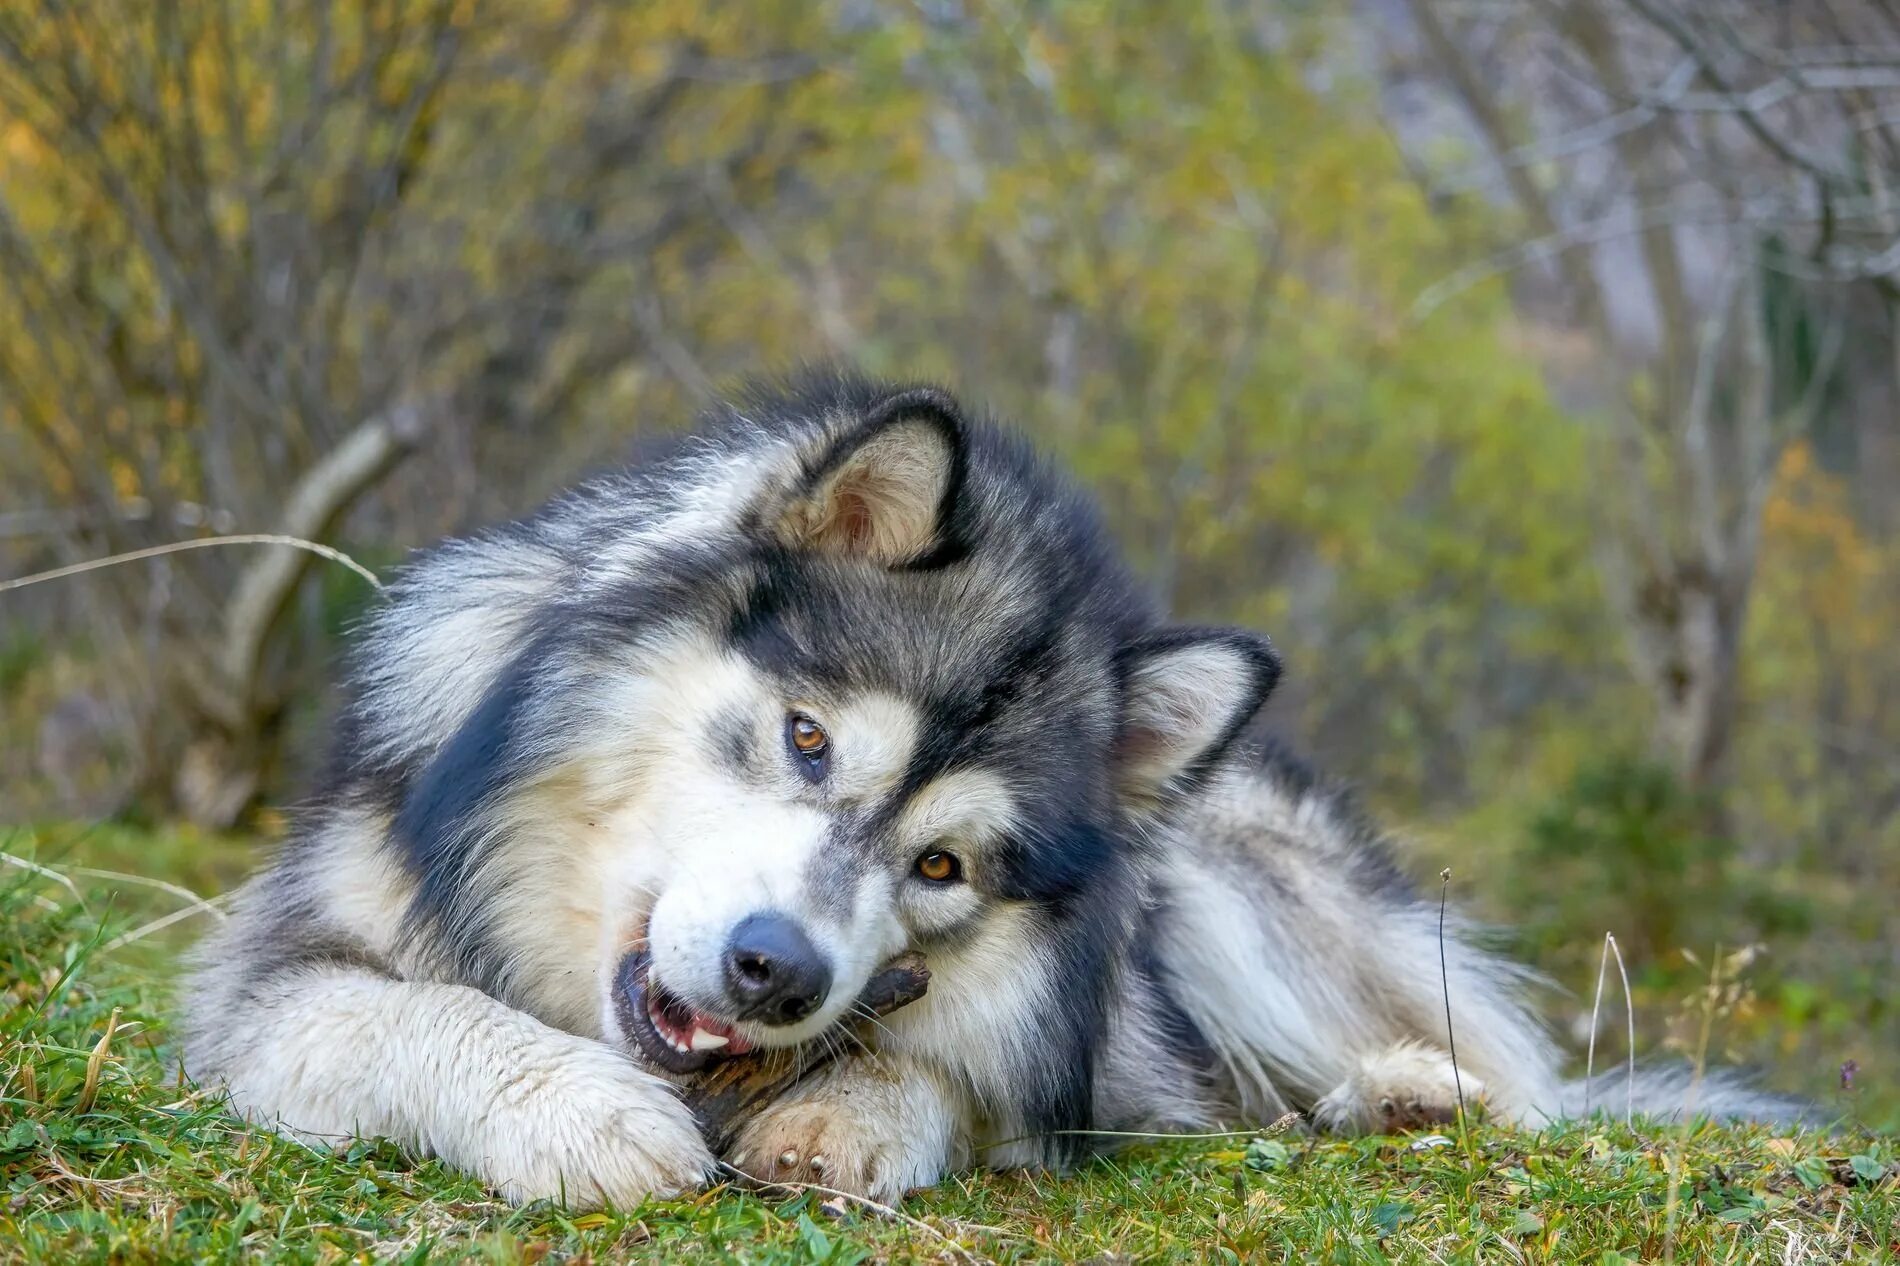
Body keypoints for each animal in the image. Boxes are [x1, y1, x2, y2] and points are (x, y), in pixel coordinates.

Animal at [185, 366, 1801, 1201]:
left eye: (942, 867)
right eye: (810, 741)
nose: (778, 971)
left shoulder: (1084, 1054)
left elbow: (968, 1071)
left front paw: (854, 1111)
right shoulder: (263, 985)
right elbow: (415, 1011)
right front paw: (578, 1112)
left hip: (1231, 900)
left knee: (1497, 1077)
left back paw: (1406, 1093)